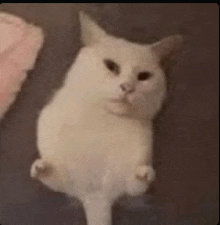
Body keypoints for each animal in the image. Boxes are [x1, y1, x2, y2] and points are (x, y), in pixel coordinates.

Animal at [30, 12, 182, 225]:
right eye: (111, 66)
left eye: (144, 76)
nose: (127, 87)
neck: (104, 115)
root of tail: (96, 198)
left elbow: (136, 186)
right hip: (65, 176)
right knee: (53, 179)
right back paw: (41, 167)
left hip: (126, 177)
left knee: (136, 185)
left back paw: (145, 174)